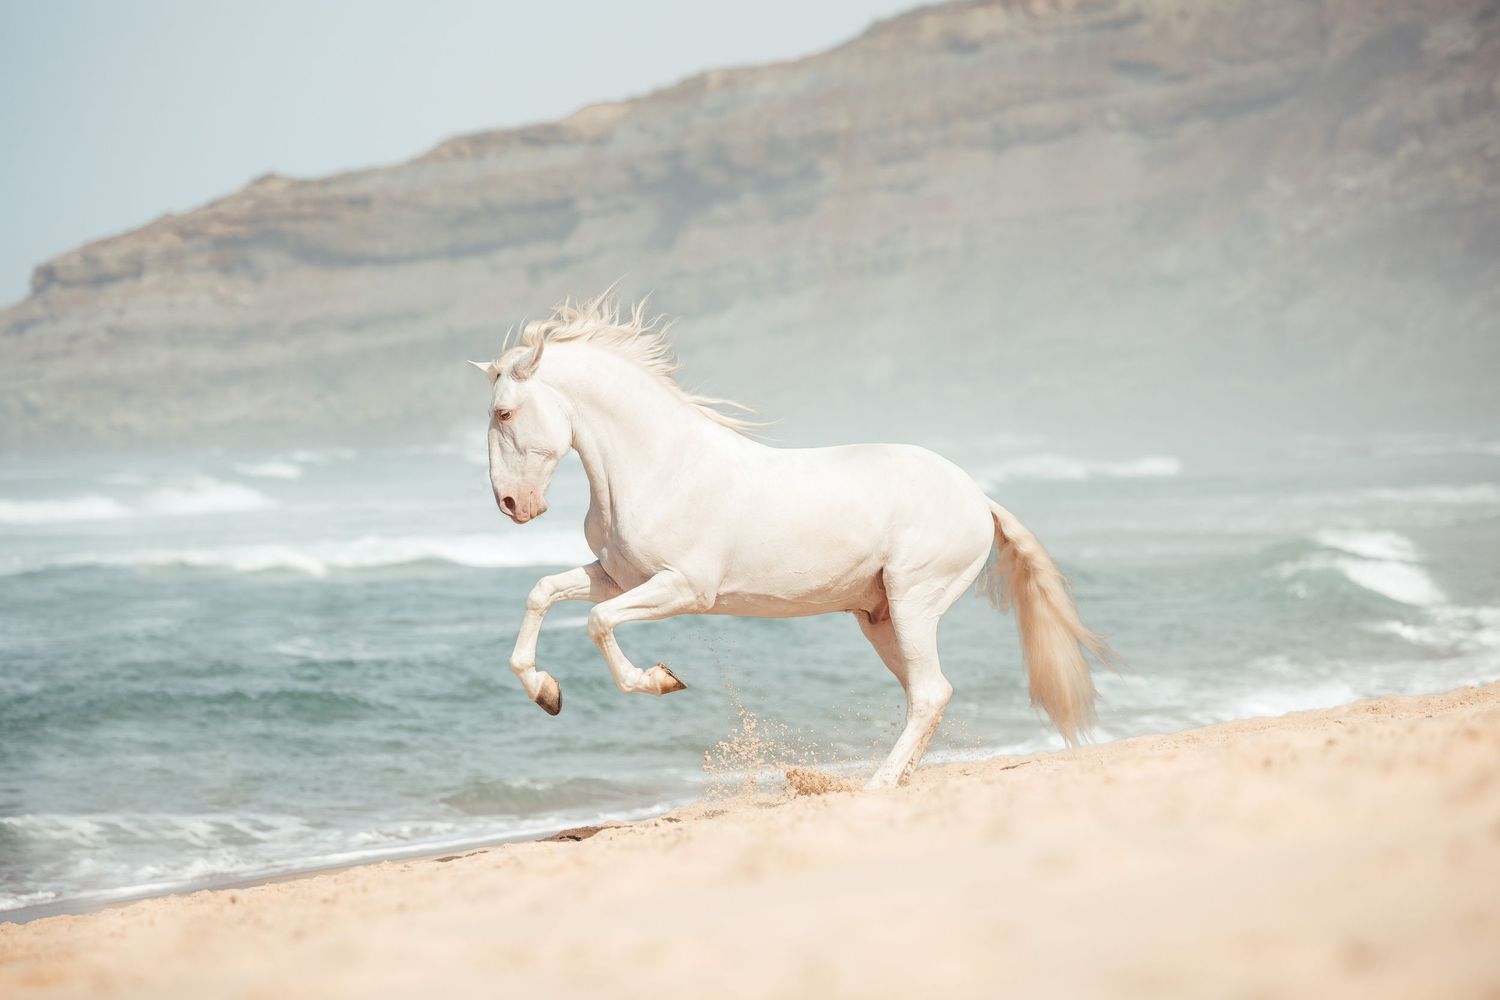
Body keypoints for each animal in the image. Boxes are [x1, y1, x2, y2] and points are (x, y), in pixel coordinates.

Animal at [470, 294, 1113, 789]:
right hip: (880, 618)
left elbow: (599, 622)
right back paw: (898, 777)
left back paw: (879, 785)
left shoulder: (684, 588)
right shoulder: (619, 576)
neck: (659, 466)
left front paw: (660, 679)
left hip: (914, 601)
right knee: (925, 694)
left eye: (504, 414)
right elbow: (542, 591)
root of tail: (978, 497)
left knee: (931, 691)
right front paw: (546, 693)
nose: (512, 506)